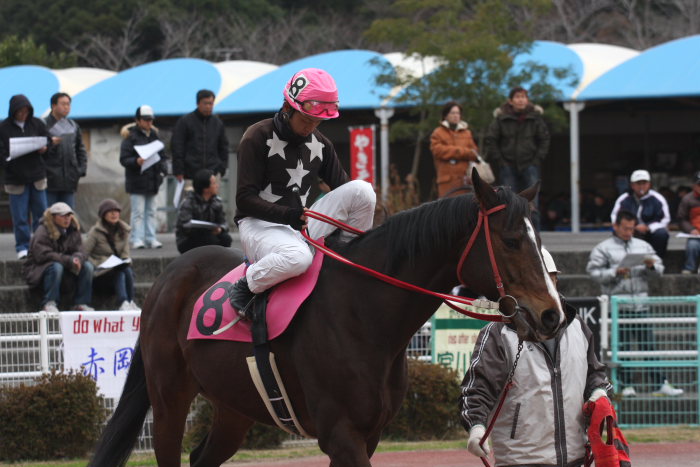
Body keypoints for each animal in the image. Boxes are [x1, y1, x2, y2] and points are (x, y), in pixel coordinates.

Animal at [90, 174, 568, 467]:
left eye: (538, 239)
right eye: (511, 240)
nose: (552, 313)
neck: (365, 312)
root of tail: (172, 272)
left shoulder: (367, 433)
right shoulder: (340, 433)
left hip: (233, 407)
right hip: (169, 396)